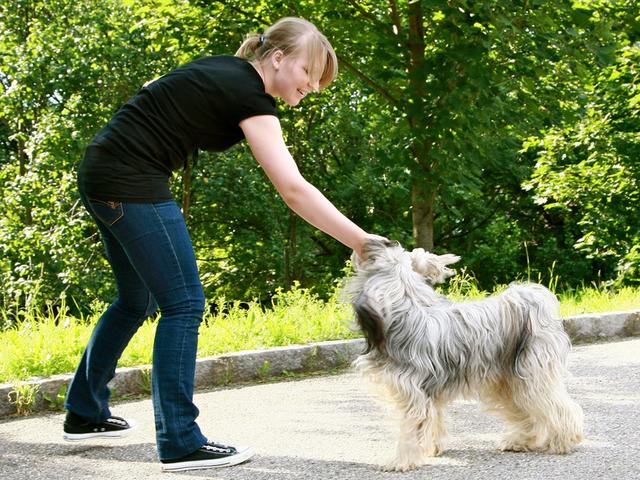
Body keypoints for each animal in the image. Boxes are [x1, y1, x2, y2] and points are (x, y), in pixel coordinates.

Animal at [348, 238, 584, 470]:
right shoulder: (430, 391)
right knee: (527, 412)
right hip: (508, 382)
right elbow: (433, 420)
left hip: (531, 376)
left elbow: (412, 428)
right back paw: (520, 441)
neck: (404, 317)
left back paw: (564, 440)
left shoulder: (413, 393)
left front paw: (402, 461)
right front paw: (431, 448)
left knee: (556, 405)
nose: (374, 242)